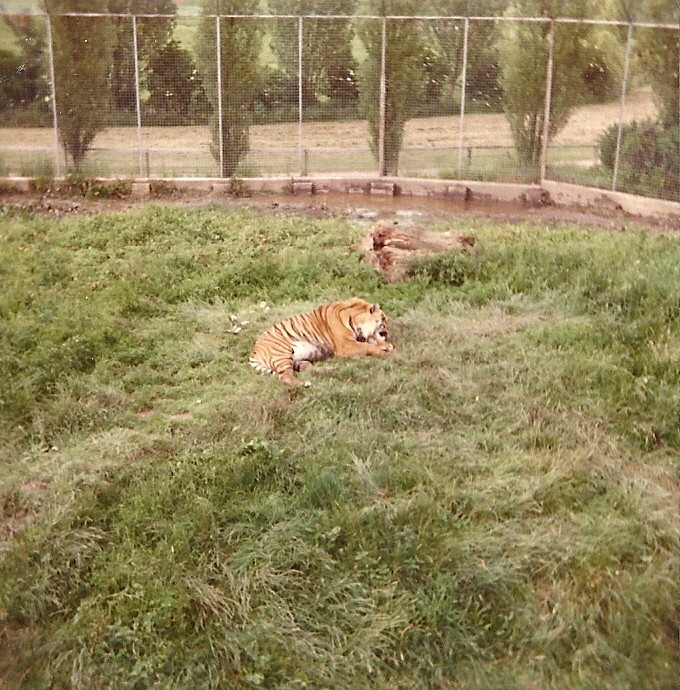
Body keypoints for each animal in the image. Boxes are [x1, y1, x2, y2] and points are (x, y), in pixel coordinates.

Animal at [249, 298, 394, 387]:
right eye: (383, 319)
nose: (386, 332)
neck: (354, 318)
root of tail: (253, 353)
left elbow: (372, 342)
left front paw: (387, 346)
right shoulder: (346, 345)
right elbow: (368, 346)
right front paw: (386, 352)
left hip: (296, 359)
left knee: (306, 368)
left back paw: (331, 369)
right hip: (282, 353)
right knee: (285, 376)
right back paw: (304, 384)